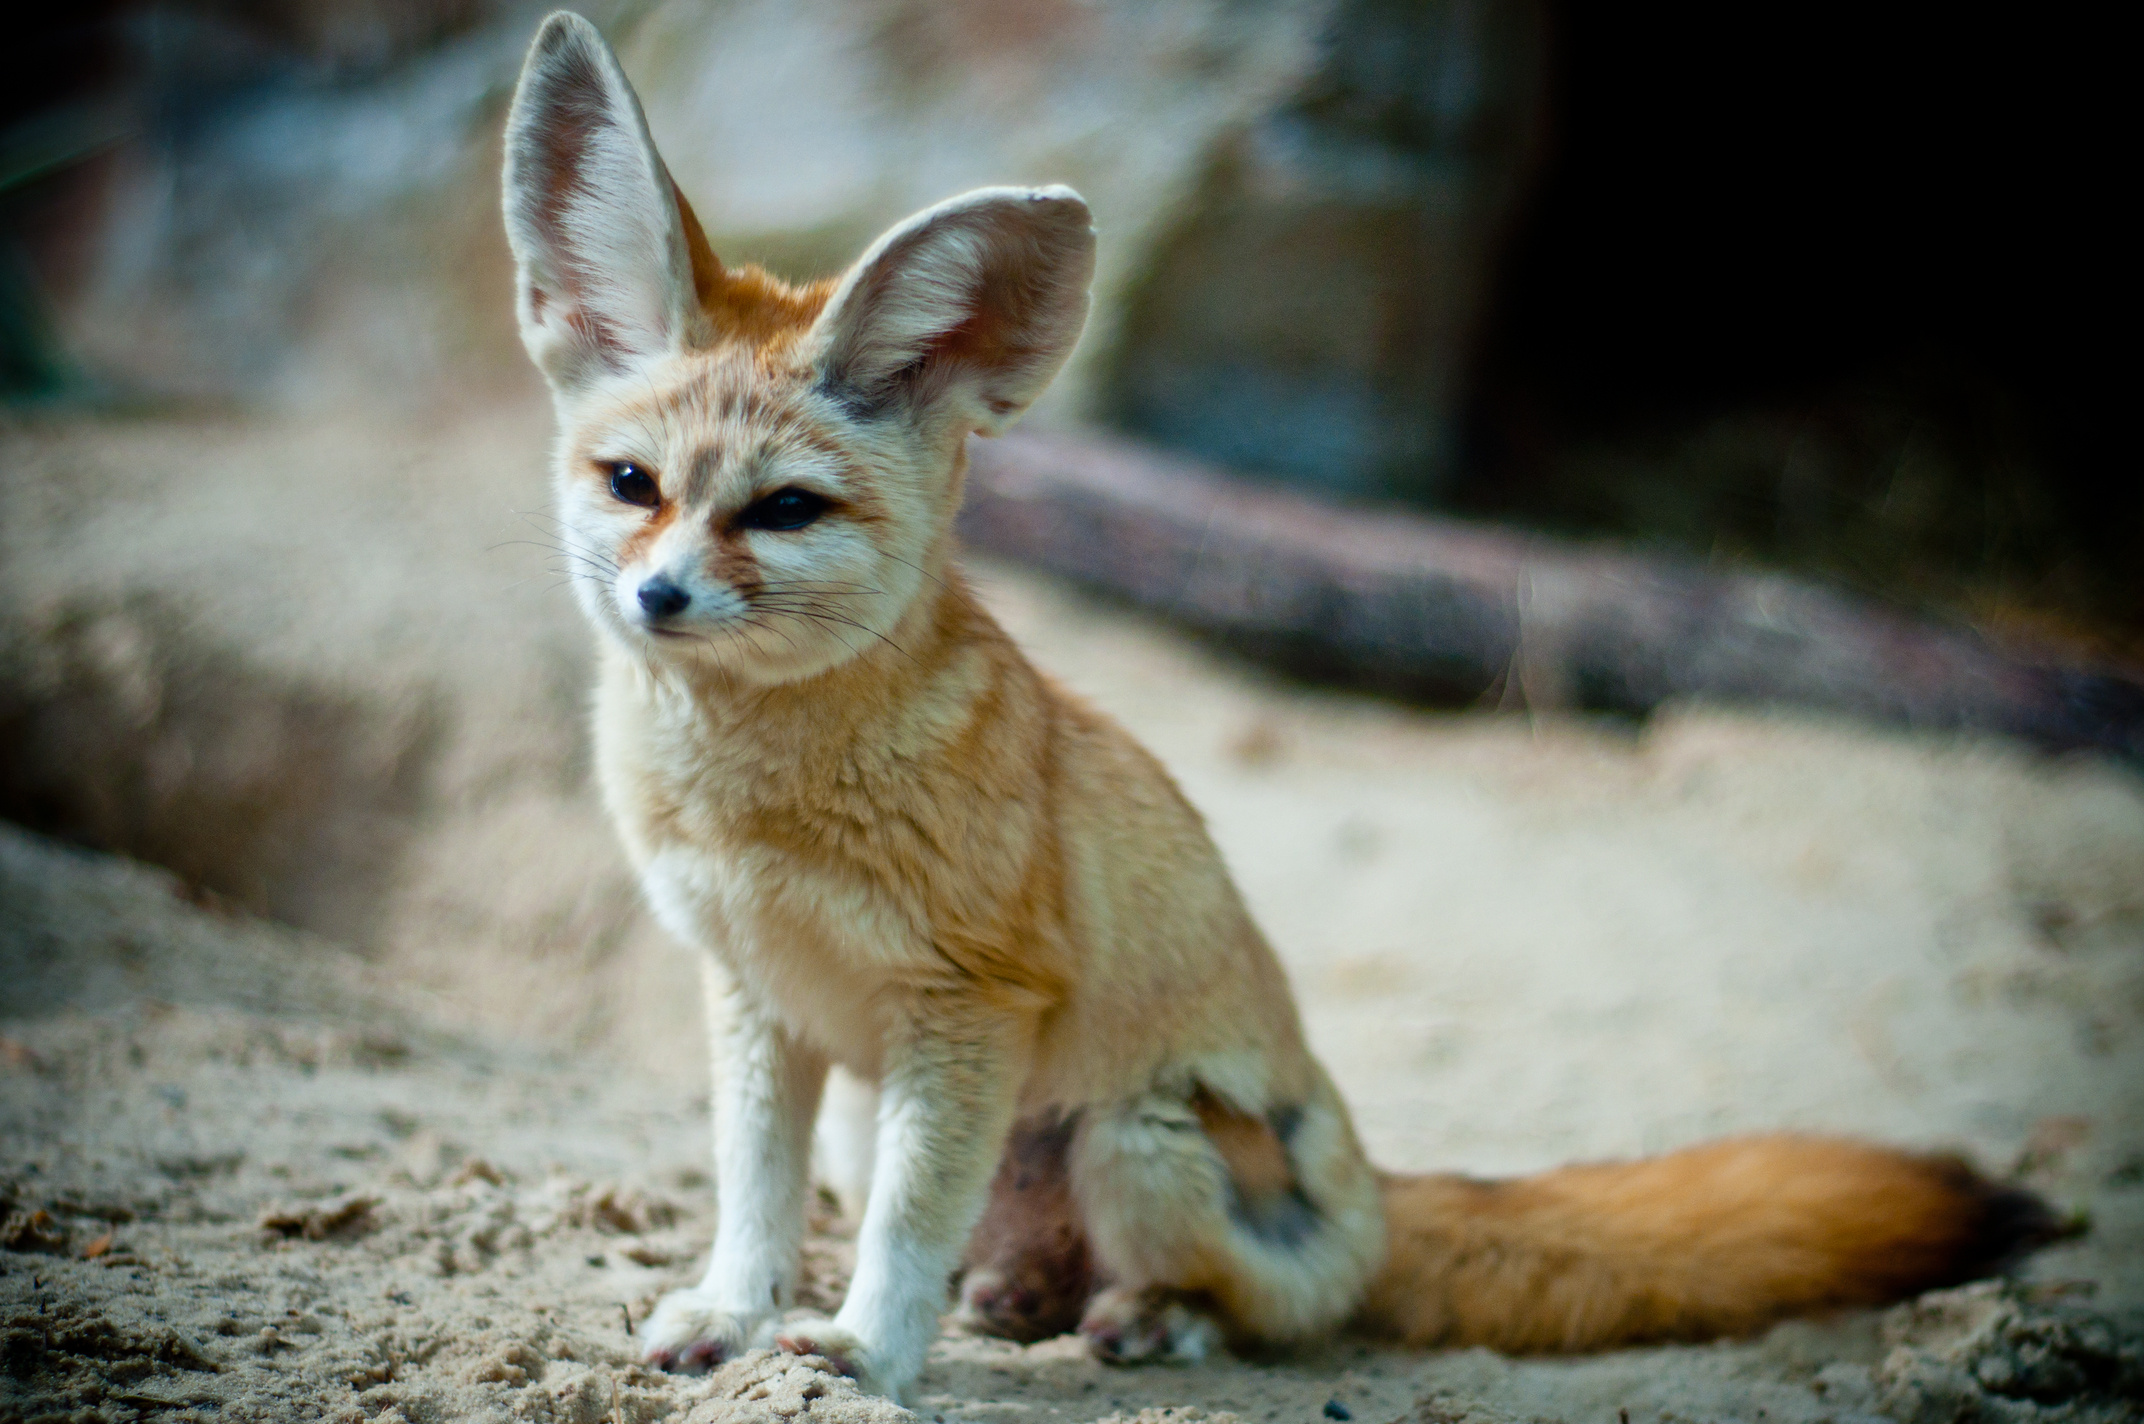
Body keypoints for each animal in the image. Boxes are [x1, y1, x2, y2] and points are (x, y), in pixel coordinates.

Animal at [501, 16, 2058, 1406]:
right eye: (634, 485)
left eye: (784, 510)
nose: (658, 600)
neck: (757, 804)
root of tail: (1377, 1186)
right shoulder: (760, 1000)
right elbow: (751, 1199)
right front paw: (732, 1314)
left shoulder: (965, 1007)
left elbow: (901, 1230)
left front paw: (865, 1354)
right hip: (923, 1122)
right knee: (1032, 1273)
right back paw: (1015, 1296)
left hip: (1135, 1138)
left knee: (1268, 1310)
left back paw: (1152, 1320)